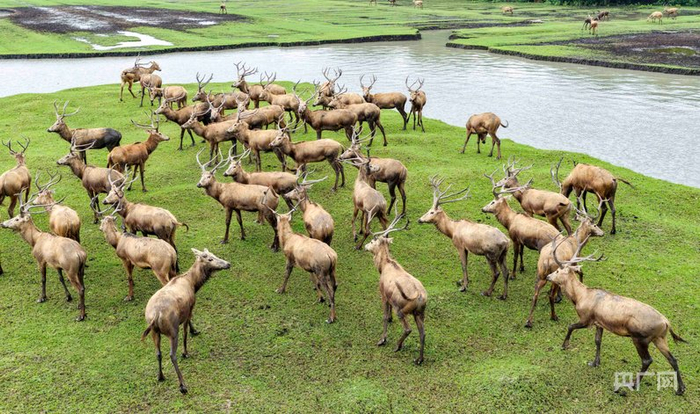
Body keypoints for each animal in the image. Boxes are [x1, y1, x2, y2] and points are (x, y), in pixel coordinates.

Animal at [142, 248, 230, 394]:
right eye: (210, 258)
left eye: (214, 255)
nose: (228, 264)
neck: (193, 284)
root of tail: (156, 316)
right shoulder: (190, 308)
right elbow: (186, 330)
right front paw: (187, 349)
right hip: (172, 330)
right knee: (172, 355)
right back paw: (182, 385)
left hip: (154, 331)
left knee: (158, 353)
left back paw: (160, 376)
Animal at [366, 214, 427, 365]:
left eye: (372, 240)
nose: (365, 246)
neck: (383, 266)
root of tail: (420, 297)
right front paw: (389, 320)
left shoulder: (383, 294)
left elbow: (384, 316)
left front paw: (382, 339)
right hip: (420, 312)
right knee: (423, 333)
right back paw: (419, 359)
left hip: (401, 309)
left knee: (408, 329)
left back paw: (397, 346)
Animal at [547, 240, 686, 395]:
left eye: (557, 271)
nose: (548, 276)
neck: (579, 297)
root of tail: (667, 323)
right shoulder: (599, 323)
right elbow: (597, 341)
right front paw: (594, 362)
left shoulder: (586, 319)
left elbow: (570, 326)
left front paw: (564, 345)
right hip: (660, 338)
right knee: (673, 359)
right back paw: (680, 389)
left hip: (640, 338)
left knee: (647, 360)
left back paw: (633, 384)